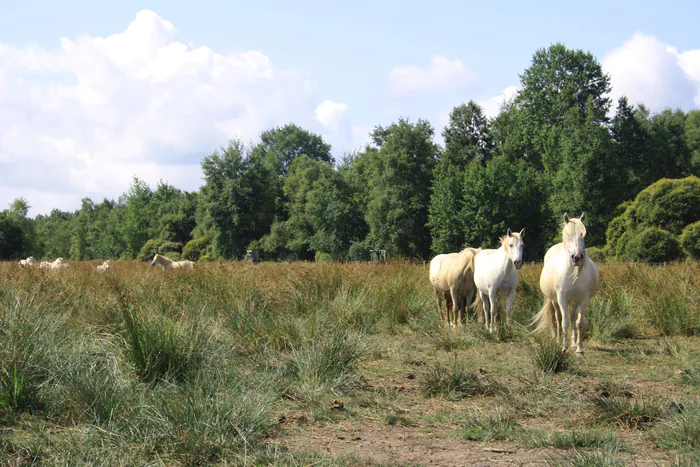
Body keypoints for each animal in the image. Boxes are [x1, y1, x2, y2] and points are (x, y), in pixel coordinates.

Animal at [532, 214, 600, 356]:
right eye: (568, 235)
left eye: (583, 235)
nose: (577, 257)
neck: (573, 273)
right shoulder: (562, 299)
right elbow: (564, 323)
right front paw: (564, 348)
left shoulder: (583, 300)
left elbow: (579, 323)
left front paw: (579, 349)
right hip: (555, 301)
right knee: (558, 318)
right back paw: (558, 341)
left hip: (574, 301)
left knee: (573, 317)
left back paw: (573, 343)